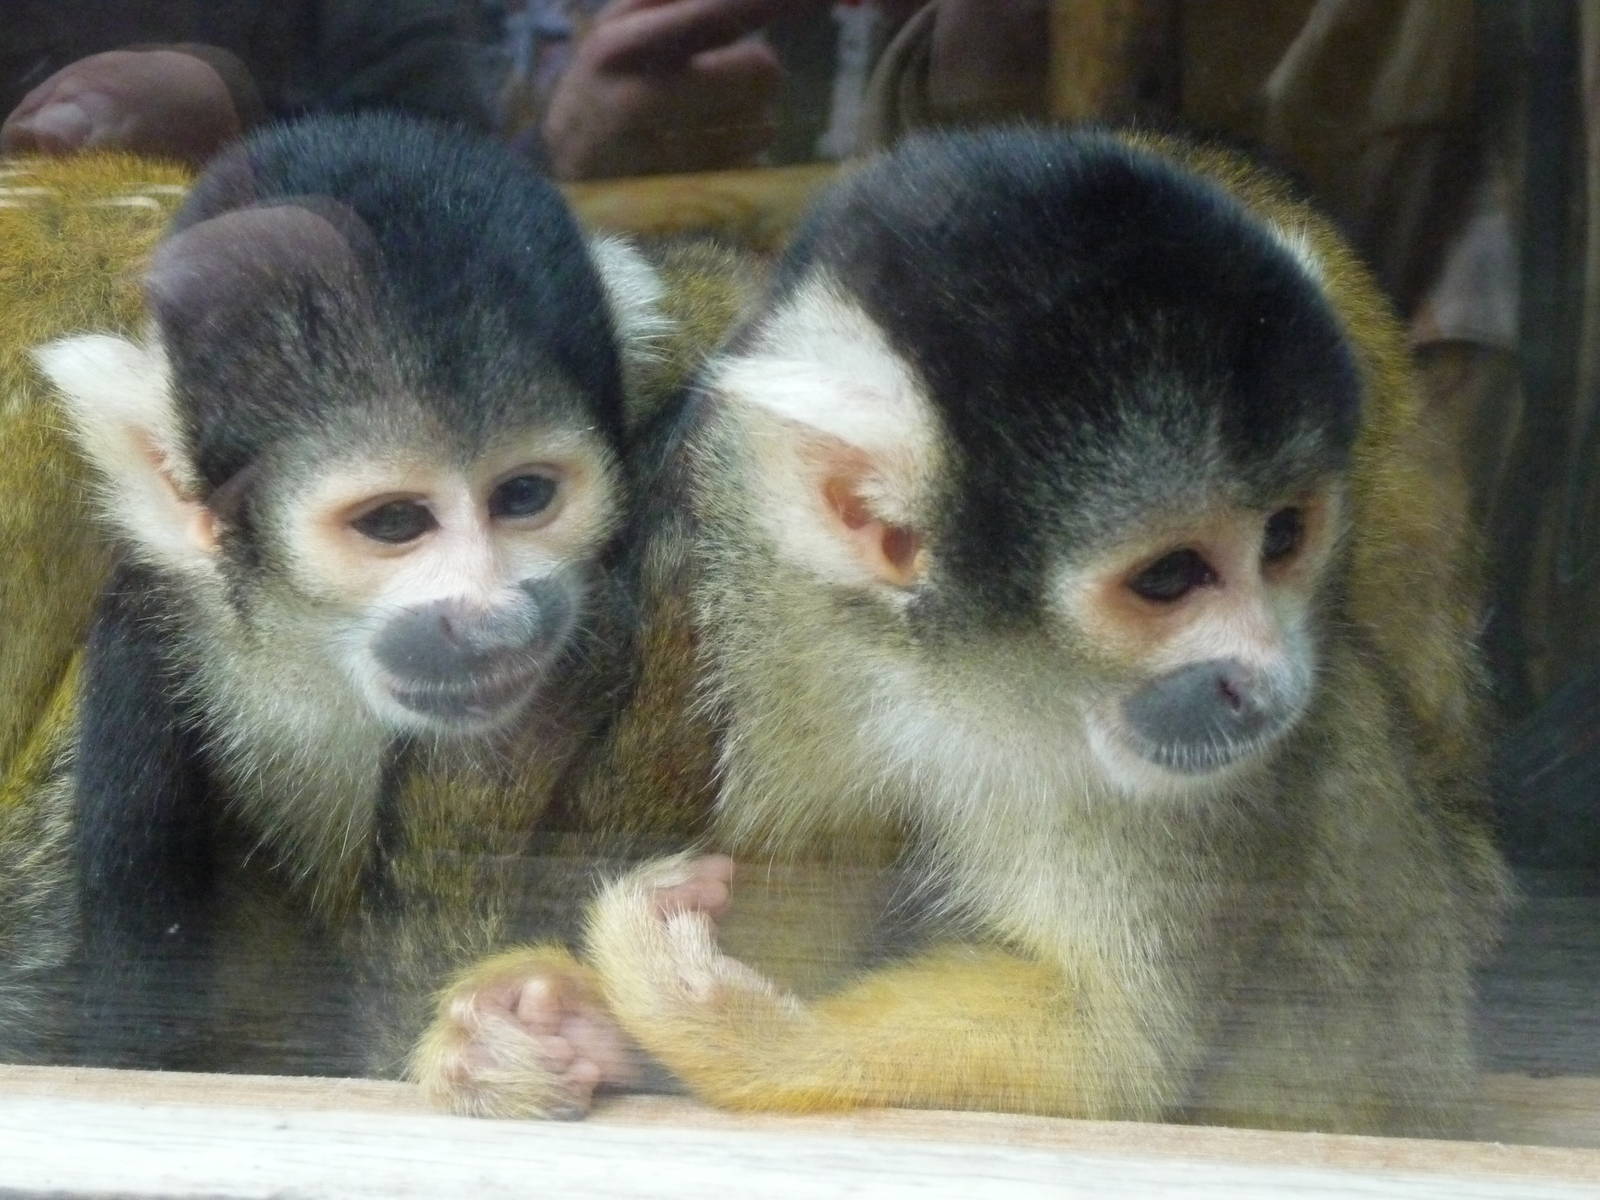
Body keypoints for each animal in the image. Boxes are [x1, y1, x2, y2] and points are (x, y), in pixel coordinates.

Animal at [415, 126, 1510, 1137]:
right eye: (1169, 578)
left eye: (1285, 538)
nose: (1266, 681)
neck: (956, 662)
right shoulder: (755, 583)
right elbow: (808, 852)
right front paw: (559, 1019)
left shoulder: (1164, 754)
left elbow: (1108, 1050)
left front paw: (725, 1028)